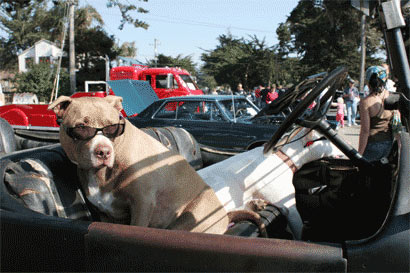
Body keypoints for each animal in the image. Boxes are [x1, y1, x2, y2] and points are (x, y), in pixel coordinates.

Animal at [48, 94, 231, 233]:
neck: (103, 173)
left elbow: (137, 225)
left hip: (190, 218)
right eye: (81, 127)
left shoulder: (142, 203)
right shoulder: (104, 213)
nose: (104, 151)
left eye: (113, 127)